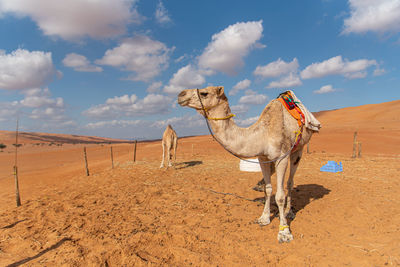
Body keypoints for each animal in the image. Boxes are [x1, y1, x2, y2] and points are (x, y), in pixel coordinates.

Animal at [177, 86, 320, 243]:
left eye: (204, 93)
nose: (180, 95)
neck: (262, 134)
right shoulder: (262, 158)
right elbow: (268, 190)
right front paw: (264, 218)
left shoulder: (281, 157)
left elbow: (280, 196)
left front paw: (284, 232)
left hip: (298, 148)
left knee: (290, 182)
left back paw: (289, 212)